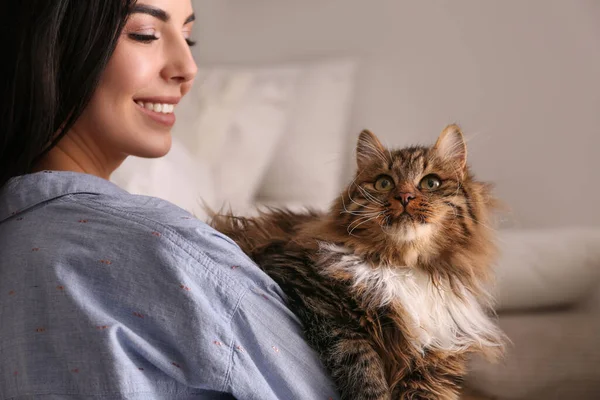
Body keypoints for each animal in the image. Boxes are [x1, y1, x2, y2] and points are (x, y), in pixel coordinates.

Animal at [210, 125, 502, 400]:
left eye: (431, 183)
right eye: (384, 183)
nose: (404, 197)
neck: (404, 266)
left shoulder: (434, 361)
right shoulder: (313, 295)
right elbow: (363, 367)